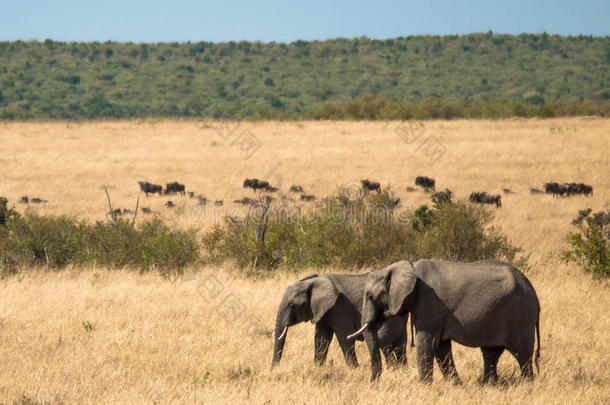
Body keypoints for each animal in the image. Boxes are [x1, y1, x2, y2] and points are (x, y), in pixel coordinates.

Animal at [270, 274, 406, 368]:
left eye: (292, 305)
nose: (274, 369)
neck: (313, 282)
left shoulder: (340, 307)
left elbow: (344, 338)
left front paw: (354, 369)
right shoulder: (323, 311)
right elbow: (321, 339)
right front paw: (318, 368)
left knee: (385, 341)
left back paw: (392, 369)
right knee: (400, 344)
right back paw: (401, 370)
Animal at [350, 258, 540, 382]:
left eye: (370, 296)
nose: (373, 383)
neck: (408, 267)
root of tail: (533, 293)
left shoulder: (429, 302)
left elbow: (427, 342)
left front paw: (423, 386)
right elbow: (441, 348)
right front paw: (456, 385)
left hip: (520, 314)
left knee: (522, 353)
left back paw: (527, 384)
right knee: (491, 352)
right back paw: (488, 384)